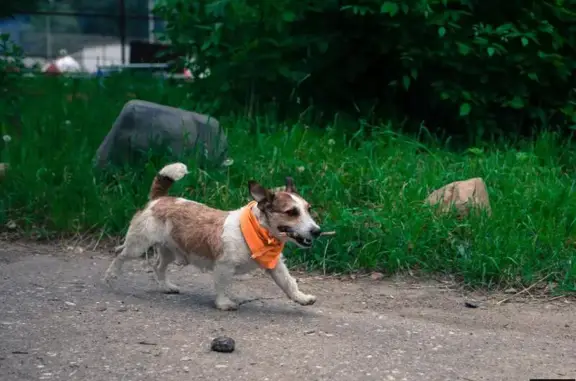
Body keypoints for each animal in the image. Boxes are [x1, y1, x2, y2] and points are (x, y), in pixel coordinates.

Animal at [102, 161, 322, 308]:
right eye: (291, 212)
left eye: (308, 209)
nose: (317, 231)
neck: (259, 232)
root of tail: (160, 199)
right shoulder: (224, 266)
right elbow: (223, 285)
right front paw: (224, 303)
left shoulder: (275, 265)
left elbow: (288, 282)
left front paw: (301, 297)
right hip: (138, 244)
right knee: (120, 255)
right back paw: (111, 276)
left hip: (169, 250)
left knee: (158, 266)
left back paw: (165, 286)